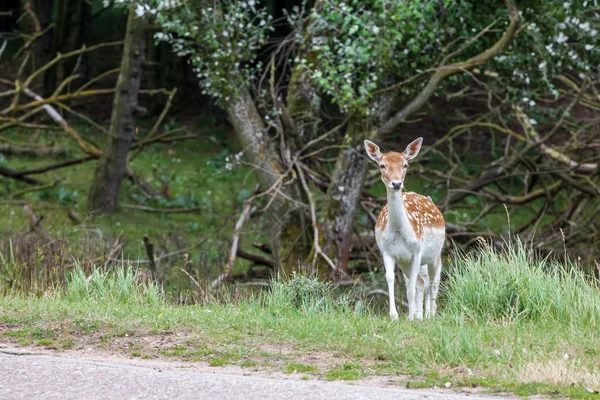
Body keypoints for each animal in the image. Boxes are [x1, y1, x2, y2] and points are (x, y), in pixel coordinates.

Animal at [364, 139, 442, 320]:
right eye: (382, 165)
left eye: (405, 165)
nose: (397, 183)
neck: (399, 232)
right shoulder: (388, 252)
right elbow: (391, 279)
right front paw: (395, 315)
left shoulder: (417, 252)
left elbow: (412, 287)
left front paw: (410, 317)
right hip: (404, 262)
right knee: (422, 283)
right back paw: (420, 316)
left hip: (435, 256)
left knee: (432, 283)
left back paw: (430, 315)